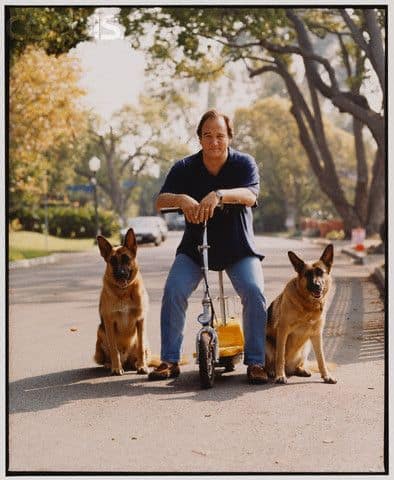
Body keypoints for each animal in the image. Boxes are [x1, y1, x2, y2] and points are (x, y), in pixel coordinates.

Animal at [94, 231, 149, 376]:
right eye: (112, 261)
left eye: (126, 259)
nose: (121, 274)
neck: (123, 293)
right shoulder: (109, 322)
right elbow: (114, 349)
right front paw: (116, 368)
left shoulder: (140, 320)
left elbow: (140, 347)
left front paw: (142, 366)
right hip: (100, 335)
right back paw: (110, 364)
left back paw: (136, 364)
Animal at [264, 246, 336, 384]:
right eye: (307, 274)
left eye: (320, 272)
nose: (317, 286)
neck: (308, 306)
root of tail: (289, 369)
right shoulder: (283, 330)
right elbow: (280, 356)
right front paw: (280, 376)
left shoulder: (317, 334)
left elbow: (321, 359)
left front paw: (326, 376)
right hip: (266, 344)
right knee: (268, 363)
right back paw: (271, 371)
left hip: (306, 347)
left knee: (300, 364)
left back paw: (301, 370)